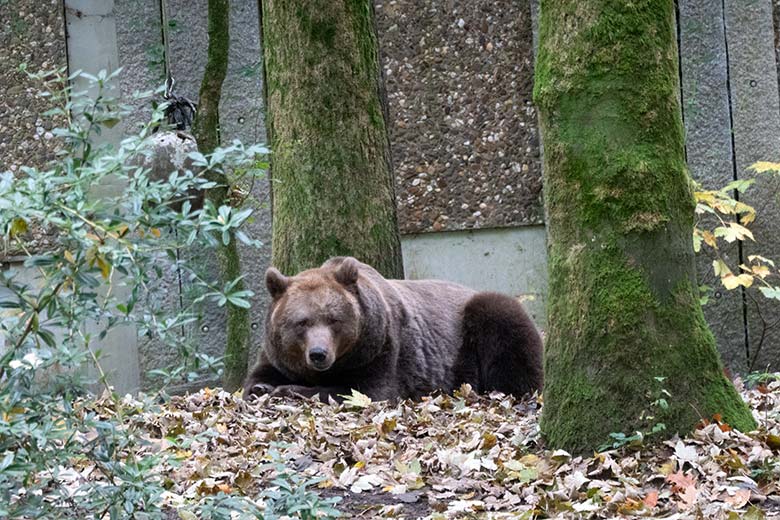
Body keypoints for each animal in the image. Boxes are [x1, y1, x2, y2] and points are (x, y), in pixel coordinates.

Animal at [242, 258, 544, 400]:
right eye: (302, 322)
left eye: (333, 319)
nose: (318, 354)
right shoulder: (276, 353)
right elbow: (255, 379)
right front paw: (262, 387)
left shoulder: (379, 349)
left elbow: (364, 391)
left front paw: (286, 390)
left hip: (476, 323)